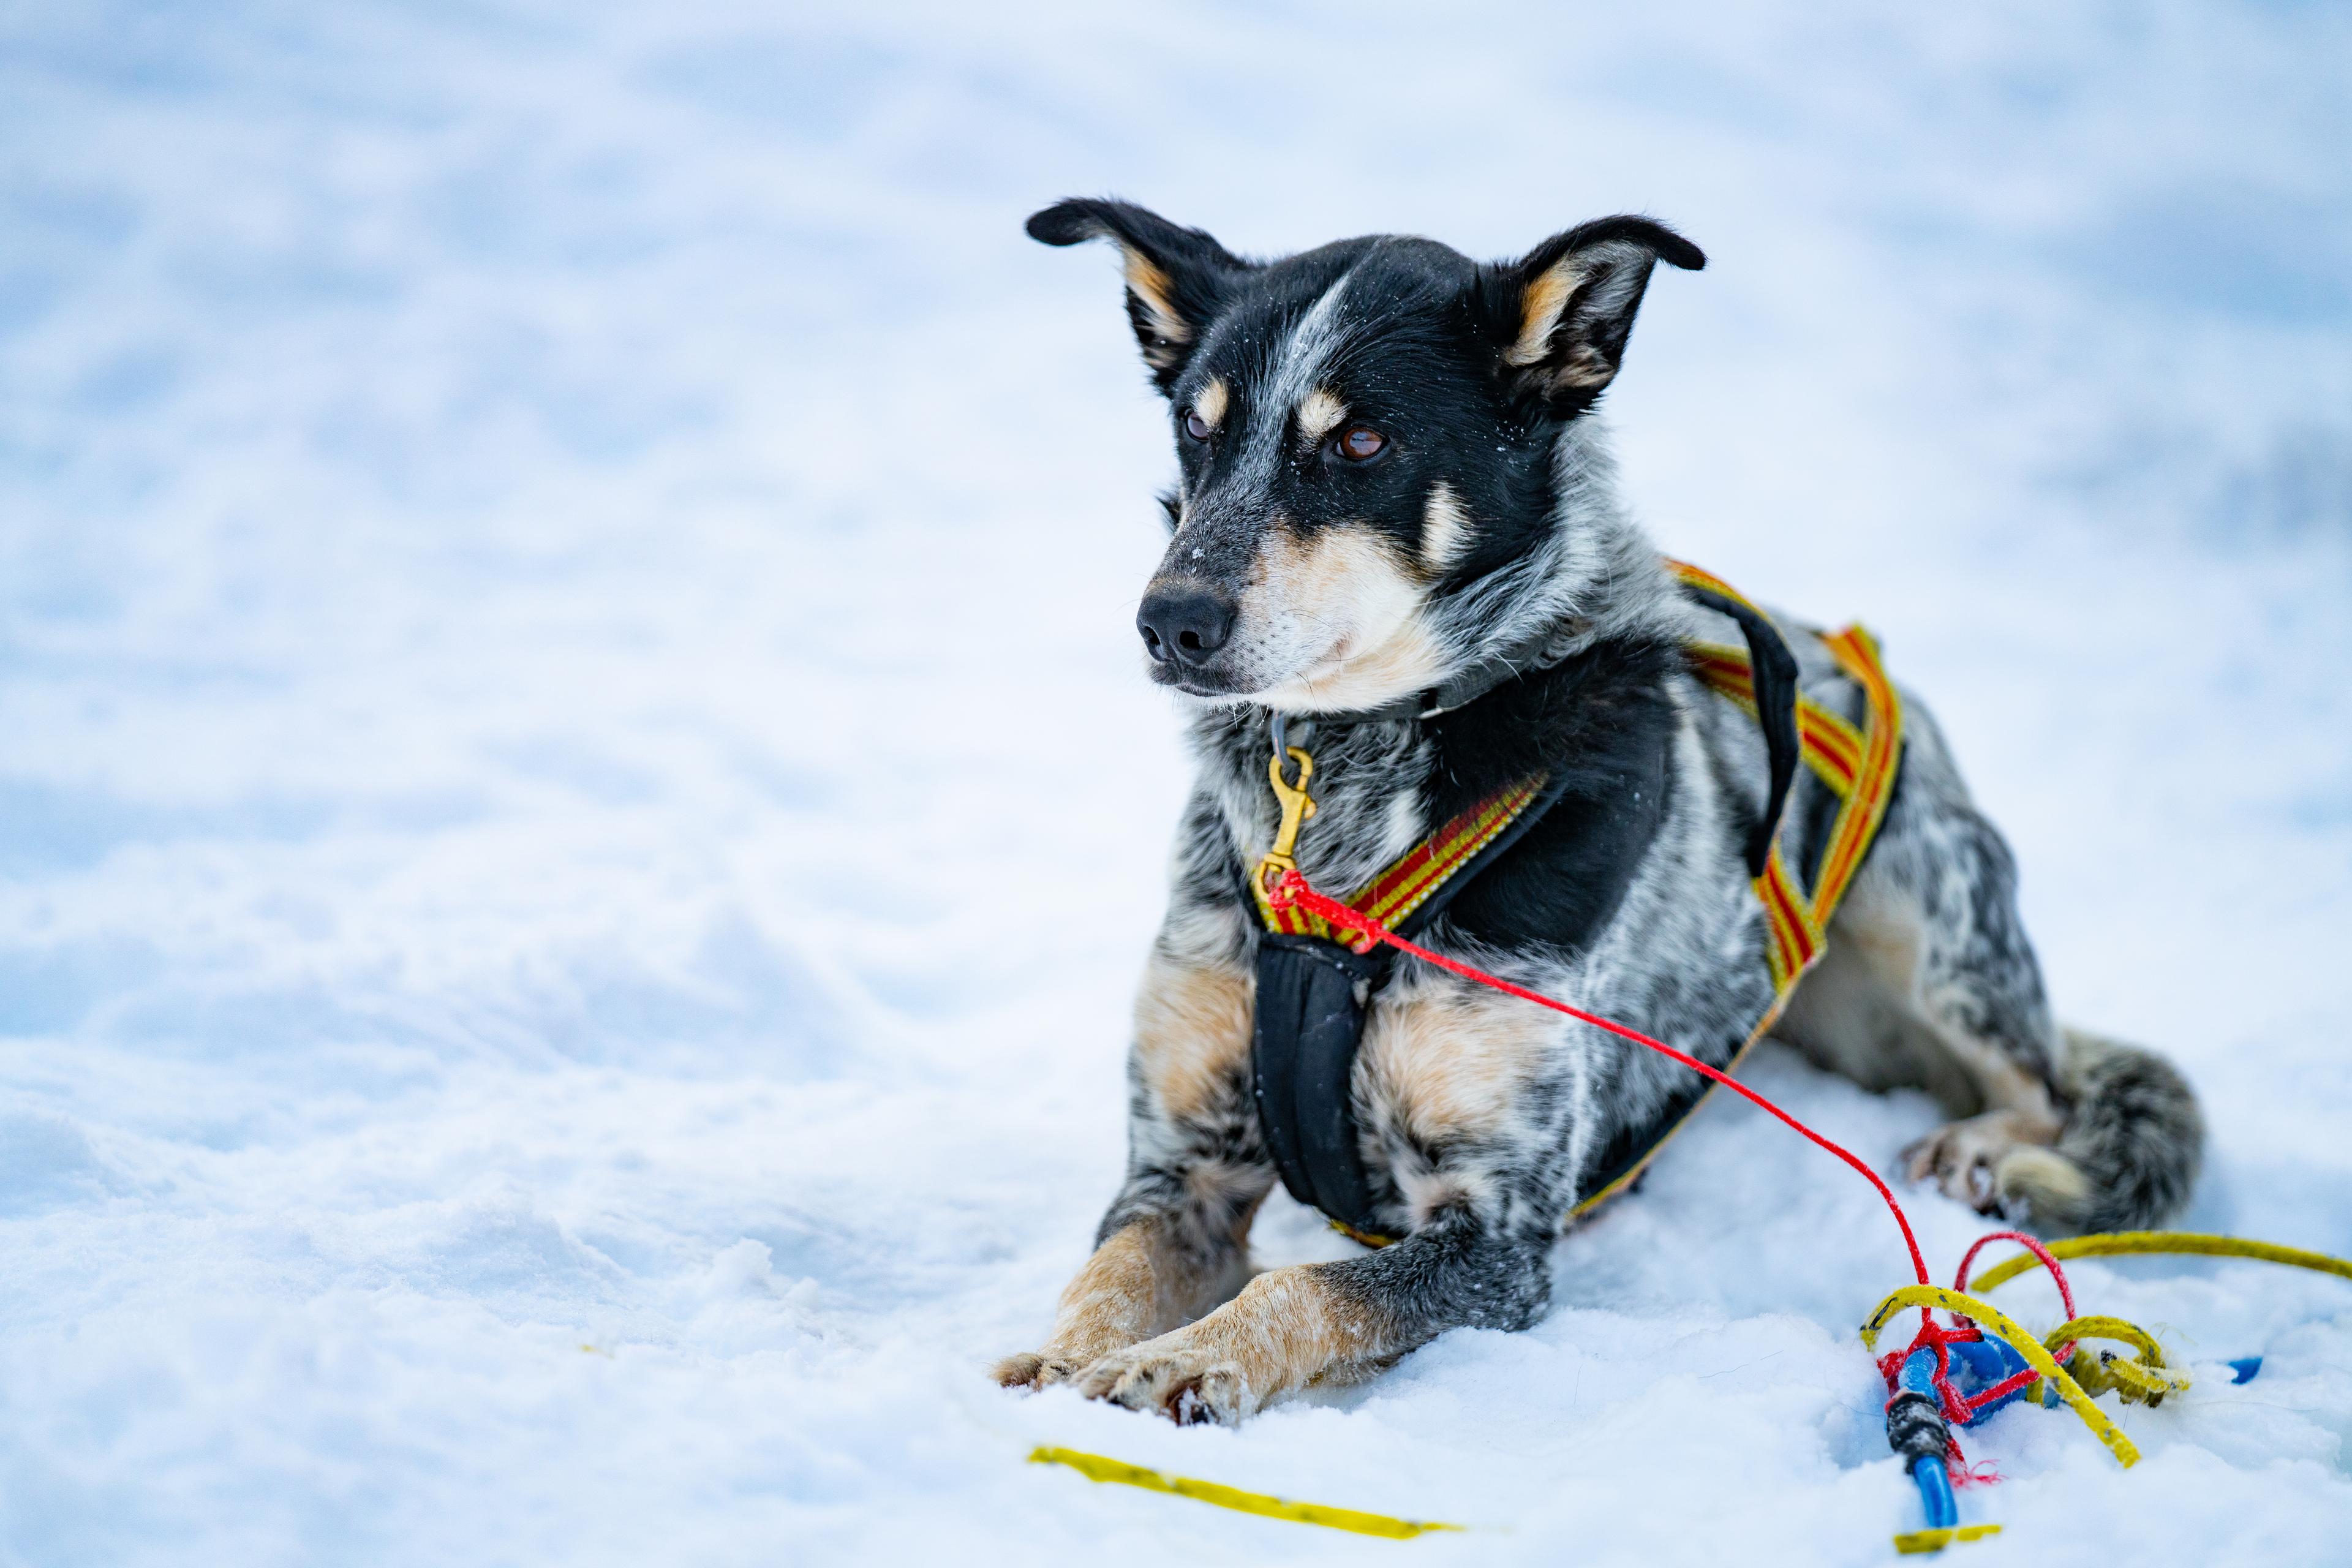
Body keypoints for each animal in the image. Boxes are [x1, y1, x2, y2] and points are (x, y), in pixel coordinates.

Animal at [997, 196, 2201, 1420]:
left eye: (1360, 444)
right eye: (1198, 433)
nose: (1168, 620)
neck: (1342, 785)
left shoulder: (1497, 1232)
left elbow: (1303, 1290)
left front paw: (1184, 1357)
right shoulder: (1179, 1163)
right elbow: (1110, 1269)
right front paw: (1062, 1358)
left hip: (1926, 915)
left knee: (2047, 1086)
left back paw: (1991, 1149)